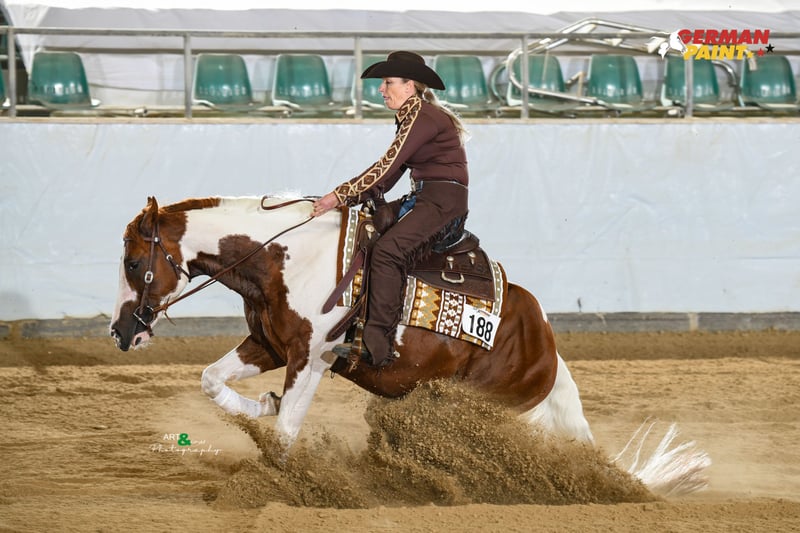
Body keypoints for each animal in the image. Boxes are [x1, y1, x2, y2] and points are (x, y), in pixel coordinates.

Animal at [110, 195, 709, 495]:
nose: (120, 331)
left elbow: (283, 438)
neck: (284, 259)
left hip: (478, 406)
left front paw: (277, 486)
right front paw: (263, 404)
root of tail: (546, 344)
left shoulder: (312, 358)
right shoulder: (271, 344)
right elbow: (213, 381)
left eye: (134, 263)